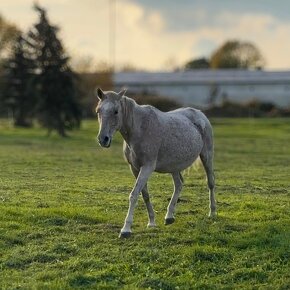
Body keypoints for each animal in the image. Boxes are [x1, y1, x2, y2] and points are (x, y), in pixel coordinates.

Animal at [96, 88, 216, 238]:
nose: (103, 139)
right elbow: (144, 195)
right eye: (98, 111)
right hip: (174, 165)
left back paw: (212, 212)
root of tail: (200, 114)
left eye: (116, 111)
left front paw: (126, 229)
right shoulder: (135, 168)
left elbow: (134, 194)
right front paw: (151, 222)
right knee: (178, 185)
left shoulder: (147, 167)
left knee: (210, 182)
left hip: (207, 156)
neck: (139, 129)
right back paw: (169, 216)